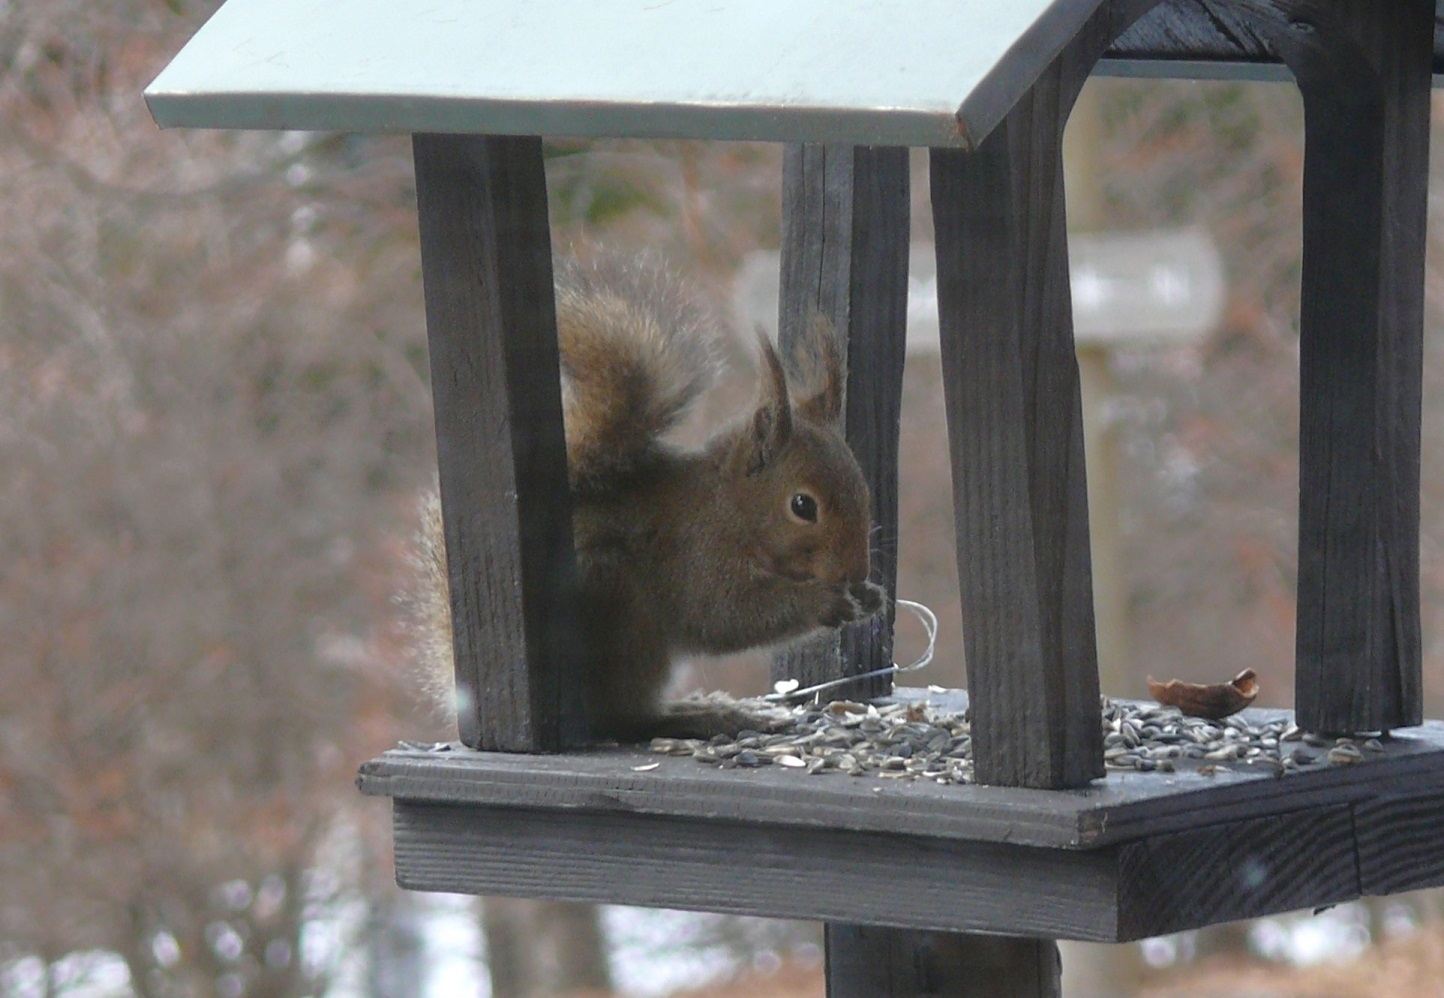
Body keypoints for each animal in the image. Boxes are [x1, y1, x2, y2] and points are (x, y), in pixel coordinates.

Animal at [412, 257, 883, 739]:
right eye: (803, 506)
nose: (855, 570)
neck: (730, 509)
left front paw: (870, 596)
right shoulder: (696, 556)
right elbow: (724, 614)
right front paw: (823, 601)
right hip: (621, 607)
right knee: (623, 716)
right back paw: (704, 714)